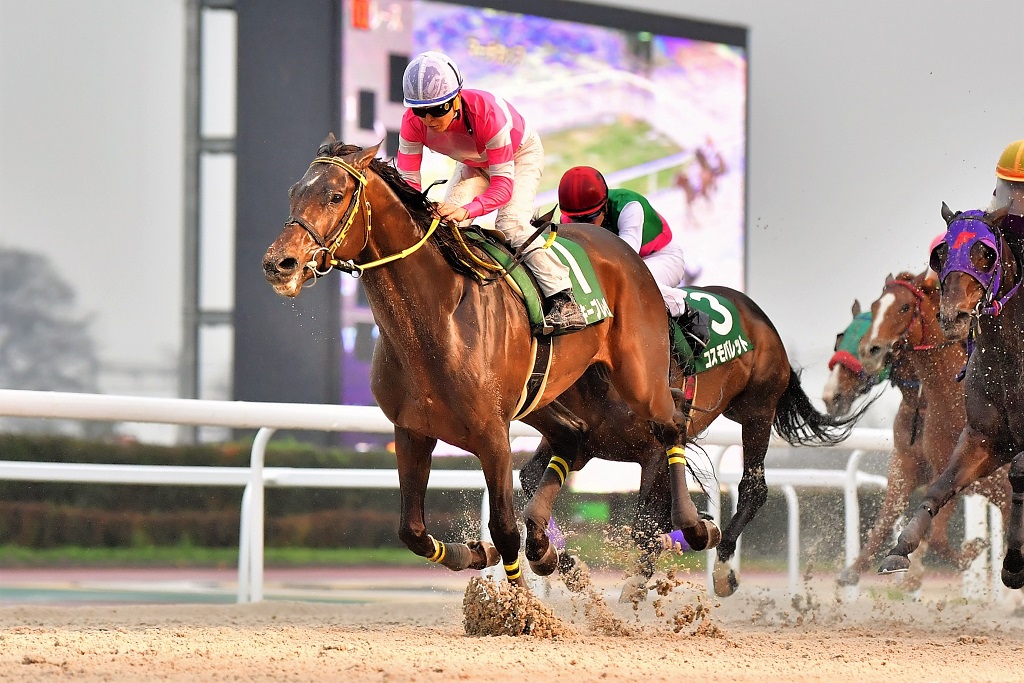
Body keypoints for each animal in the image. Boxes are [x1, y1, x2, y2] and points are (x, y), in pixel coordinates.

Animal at [520, 284, 856, 598]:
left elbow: (644, 525)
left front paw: (638, 582)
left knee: (754, 488)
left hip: (759, 409)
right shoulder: (579, 441)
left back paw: (722, 571)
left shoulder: (655, 449)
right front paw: (564, 562)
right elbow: (531, 480)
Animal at [880, 204, 1024, 589]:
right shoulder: (984, 440)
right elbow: (941, 486)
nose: (953, 315)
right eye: (940, 254)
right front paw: (900, 550)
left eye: (986, 254)